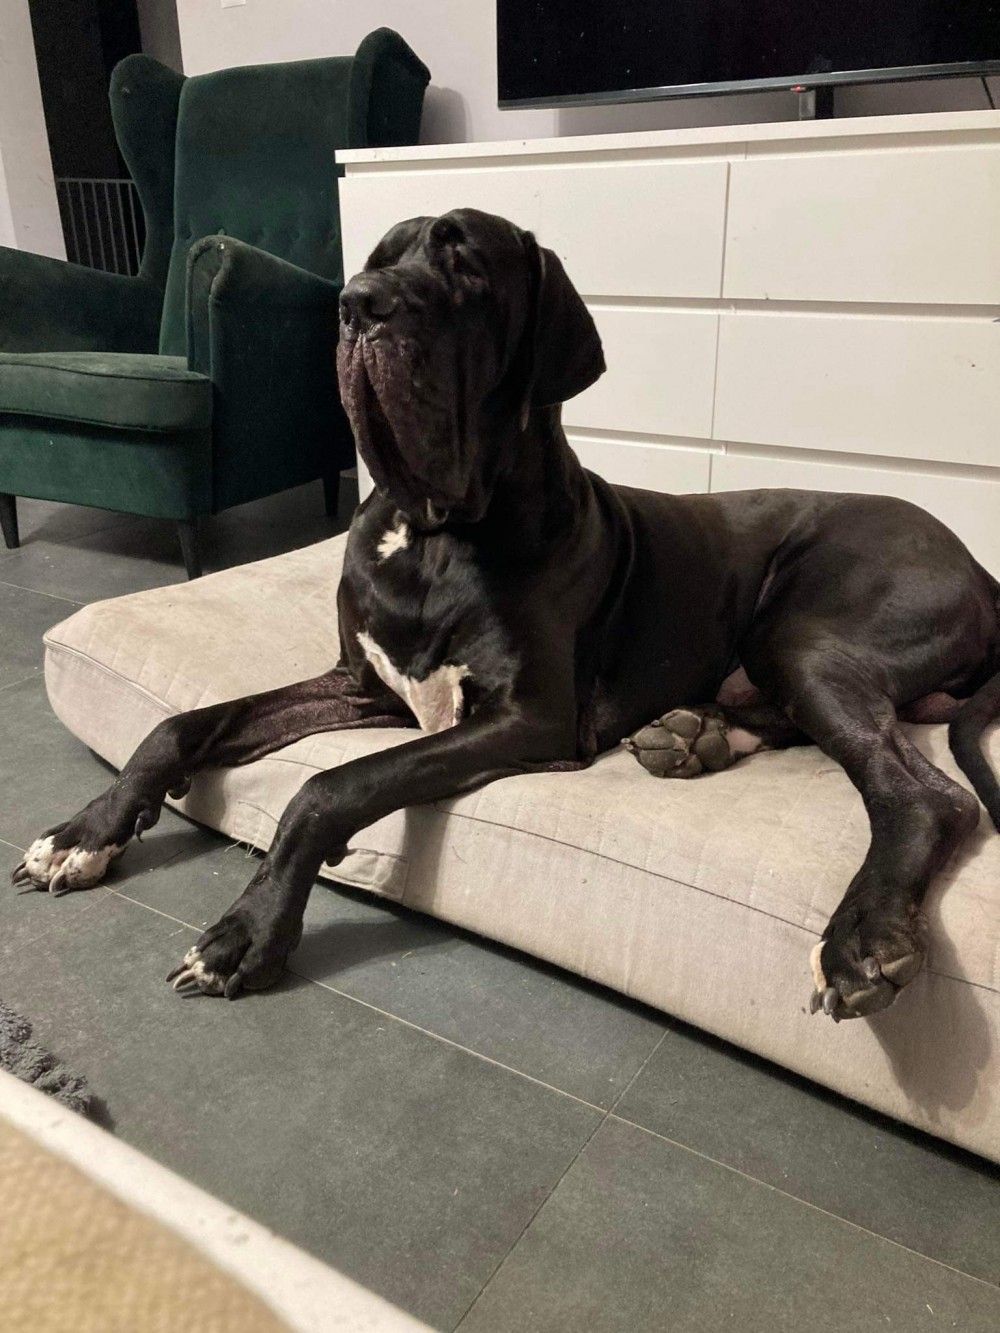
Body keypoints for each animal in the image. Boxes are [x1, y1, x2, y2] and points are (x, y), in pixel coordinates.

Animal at [13, 208, 1000, 1022]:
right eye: (379, 258)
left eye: (467, 268)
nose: (357, 304)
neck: (429, 532)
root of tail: (980, 567)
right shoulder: (358, 684)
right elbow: (182, 723)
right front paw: (84, 833)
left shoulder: (528, 717)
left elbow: (328, 785)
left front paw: (248, 932)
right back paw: (691, 735)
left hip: (805, 630)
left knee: (925, 792)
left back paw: (863, 936)